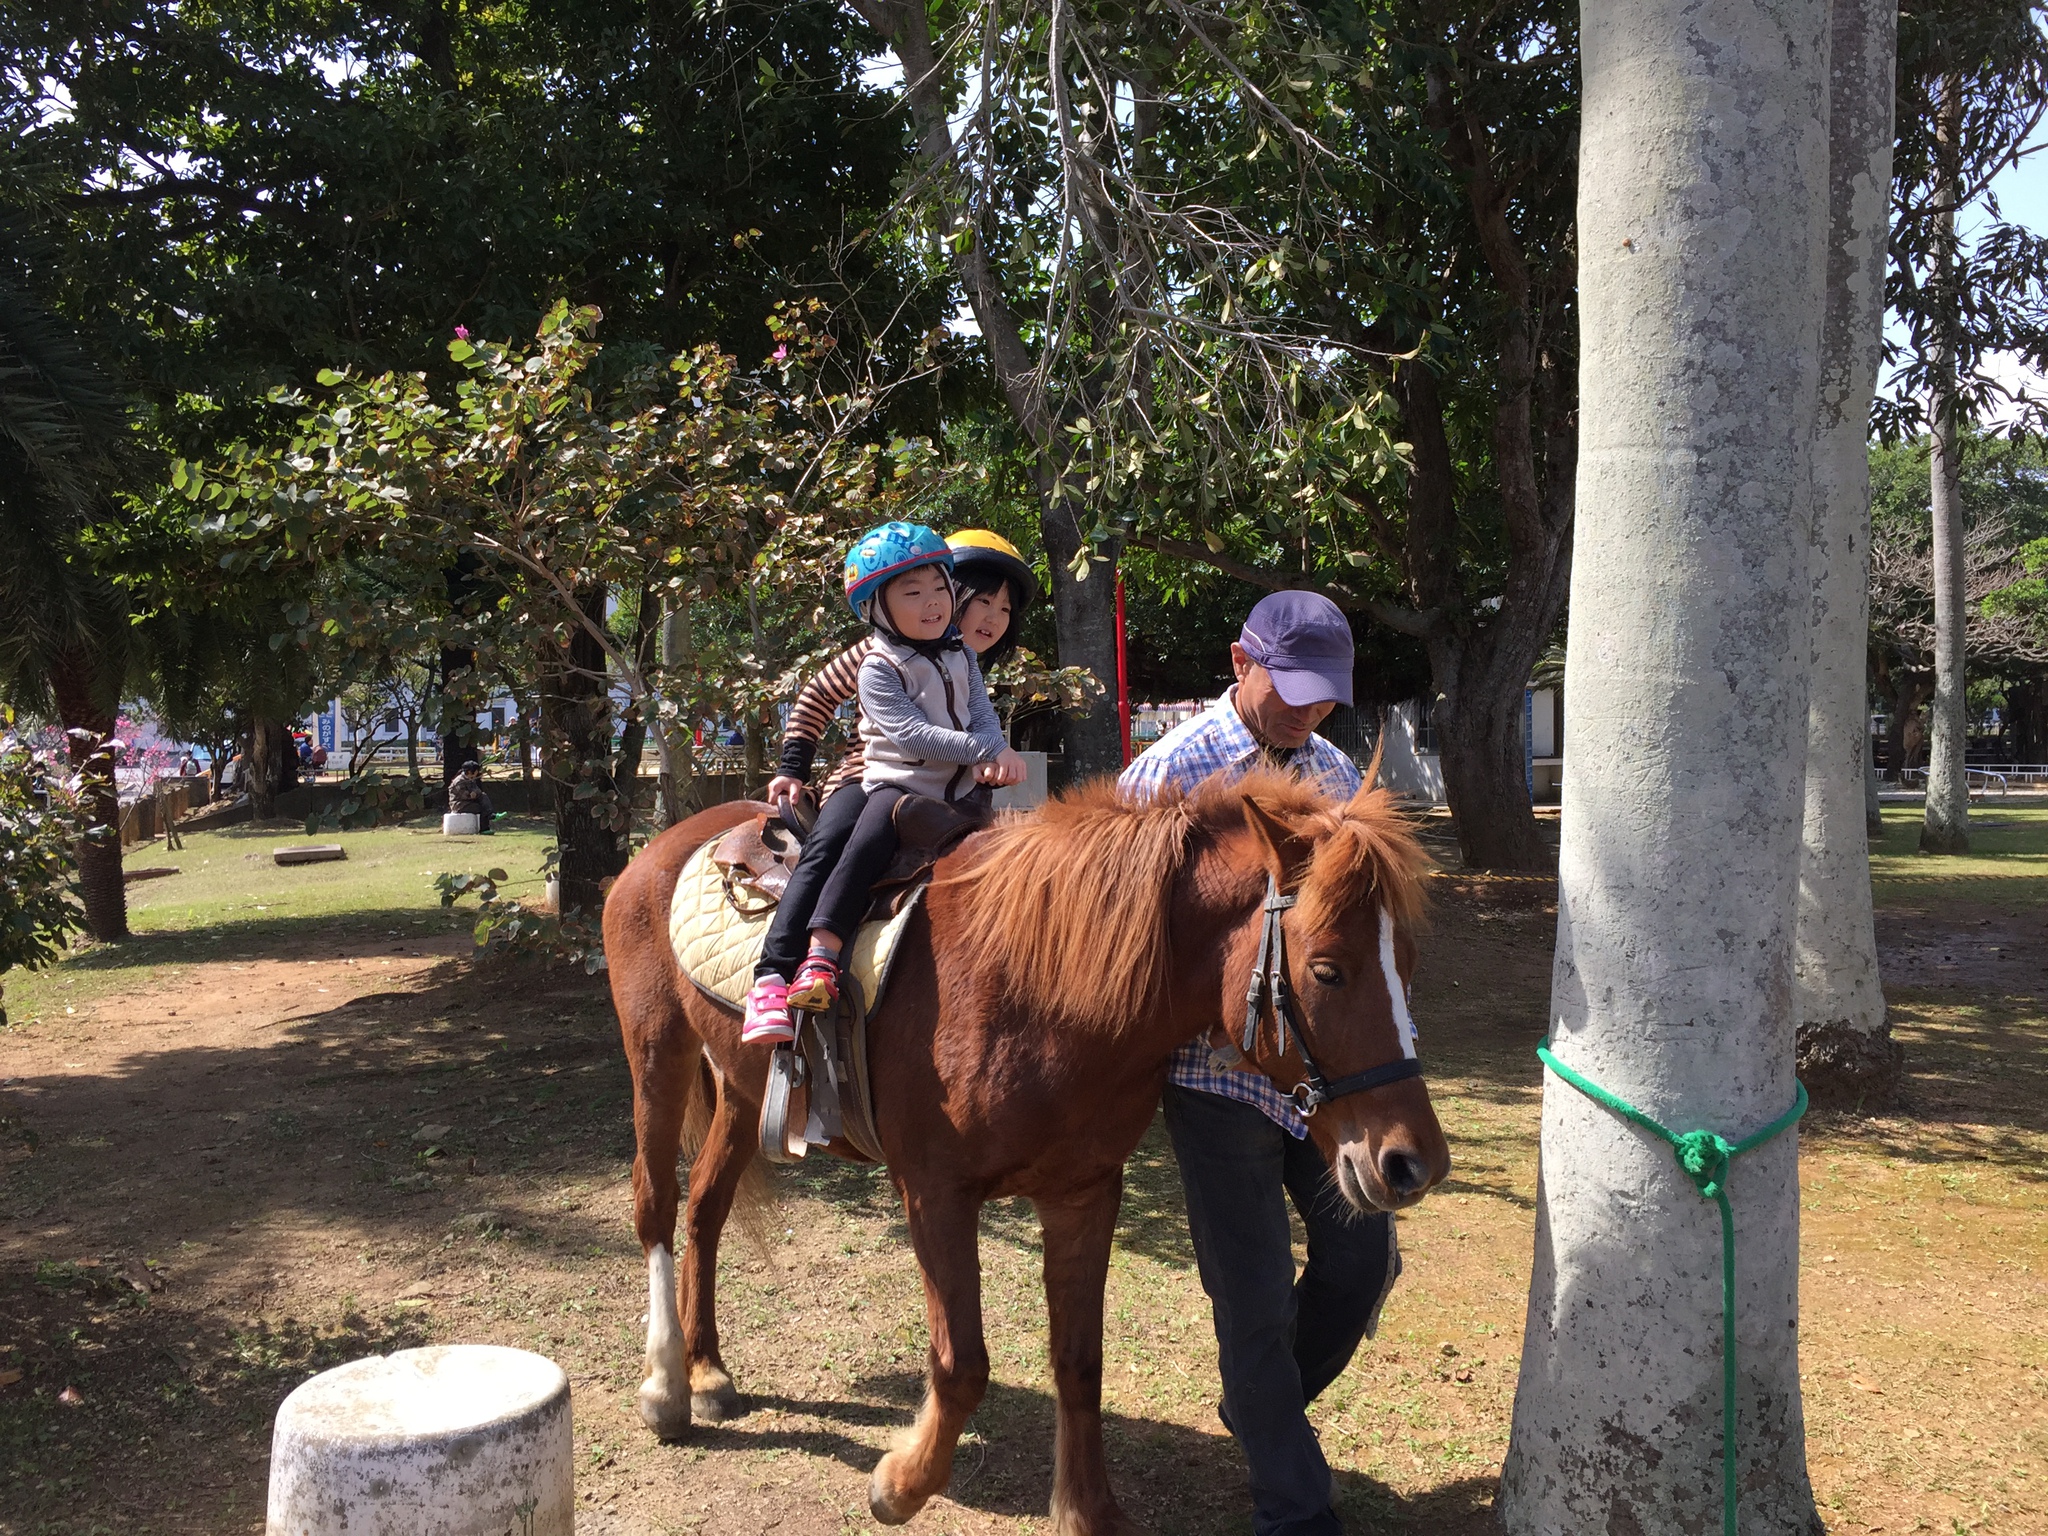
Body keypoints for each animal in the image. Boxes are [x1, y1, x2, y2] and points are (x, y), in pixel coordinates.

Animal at [598, 774, 1449, 1531]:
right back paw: (666, 1387)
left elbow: (1079, 1360)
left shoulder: (1084, 1192)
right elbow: (962, 1363)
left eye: (1411, 965)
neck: (1041, 985)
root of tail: (667, 843)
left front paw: (1087, 1510)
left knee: (706, 1211)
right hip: (658, 1055)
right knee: (657, 1207)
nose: (1414, 1163)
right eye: (1327, 971)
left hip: (743, 1092)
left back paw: (708, 1370)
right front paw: (901, 1485)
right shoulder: (935, 1195)